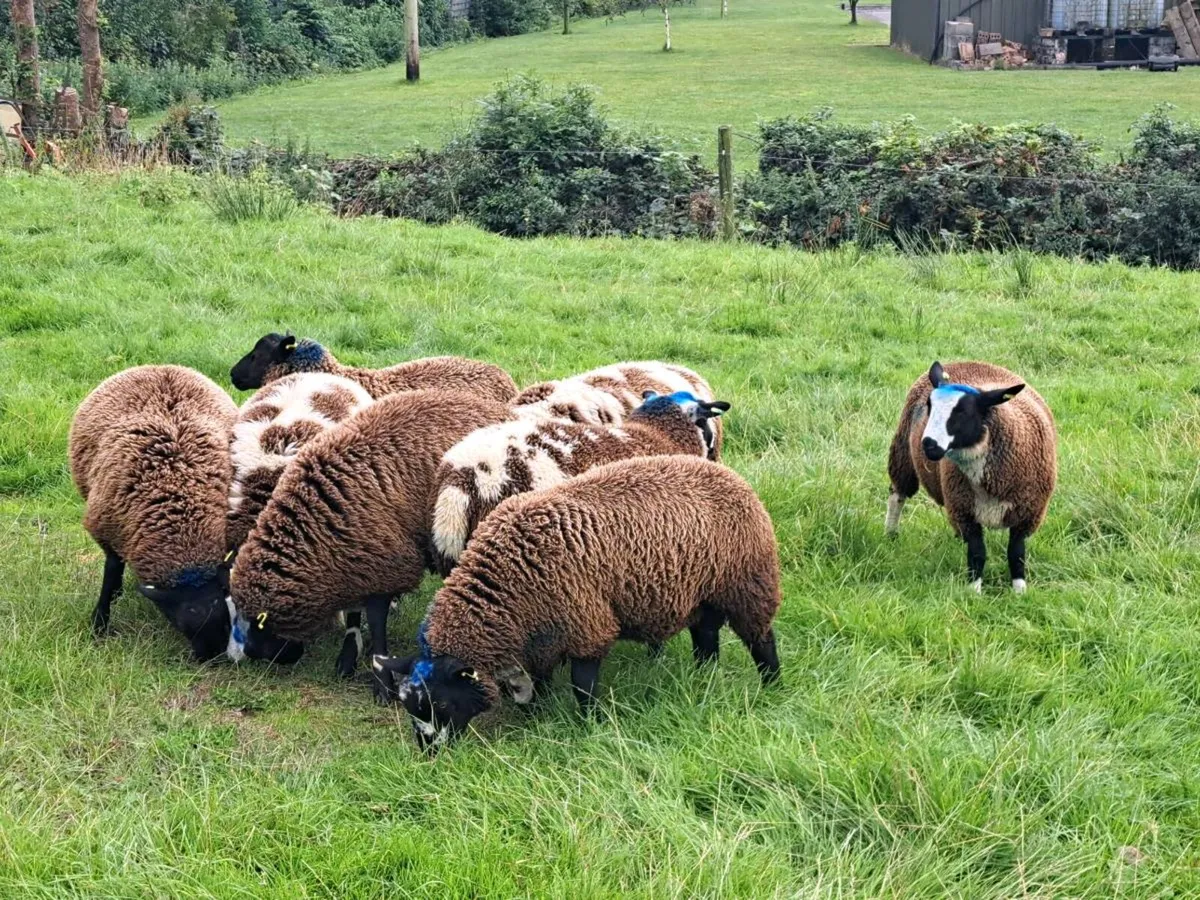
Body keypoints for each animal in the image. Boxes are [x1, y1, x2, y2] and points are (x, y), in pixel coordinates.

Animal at [68, 365, 297, 663]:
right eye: (179, 623)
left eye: (226, 622)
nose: (208, 657)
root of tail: (158, 366)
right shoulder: (109, 533)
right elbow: (110, 579)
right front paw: (99, 624)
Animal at [375, 454, 782, 751]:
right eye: (411, 707)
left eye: (442, 704)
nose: (429, 753)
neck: (506, 587)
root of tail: (726, 472)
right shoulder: (540, 639)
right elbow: (538, 681)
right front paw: (536, 715)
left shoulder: (587, 626)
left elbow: (582, 686)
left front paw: (590, 725)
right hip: (702, 596)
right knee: (706, 637)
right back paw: (704, 679)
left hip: (748, 585)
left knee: (762, 640)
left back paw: (772, 686)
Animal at [886, 361, 1057, 594]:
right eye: (930, 406)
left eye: (963, 412)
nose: (928, 444)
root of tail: (961, 361)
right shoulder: (965, 511)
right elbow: (977, 553)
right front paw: (974, 592)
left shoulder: (1028, 513)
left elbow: (1016, 553)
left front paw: (1019, 591)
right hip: (903, 452)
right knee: (897, 495)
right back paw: (890, 534)